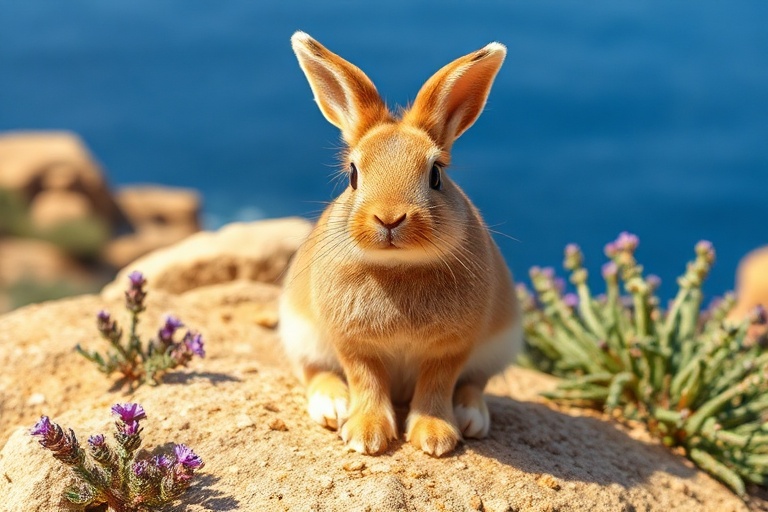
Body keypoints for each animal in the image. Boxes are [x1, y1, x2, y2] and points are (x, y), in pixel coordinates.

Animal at [279, 31, 522, 457]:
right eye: (353, 174)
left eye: (436, 174)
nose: (389, 218)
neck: (398, 267)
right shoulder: (353, 345)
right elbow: (367, 381)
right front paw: (366, 435)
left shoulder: (450, 349)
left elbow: (437, 385)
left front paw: (435, 437)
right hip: (301, 334)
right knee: (314, 372)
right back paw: (332, 406)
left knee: (474, 383)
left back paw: (471, 417)